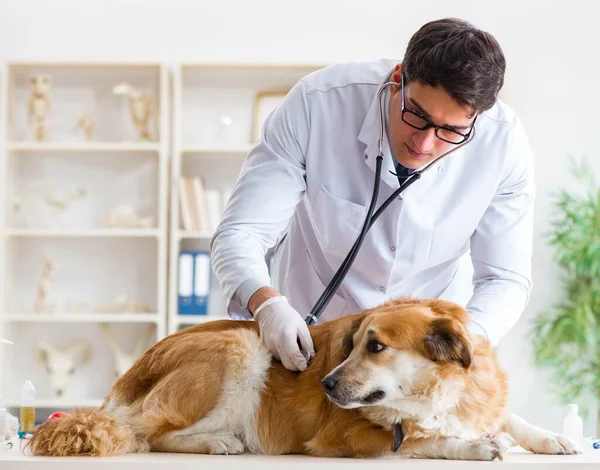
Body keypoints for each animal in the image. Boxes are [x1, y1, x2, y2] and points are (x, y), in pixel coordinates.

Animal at [24, 298, 580, 458]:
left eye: (376, 346)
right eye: (355, 343)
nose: (327, 384)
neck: (440, 390)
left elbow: (509, 416)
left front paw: (550, 438)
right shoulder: (348, 438)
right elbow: (423, 440)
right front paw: (472, 446)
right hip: (239, 346)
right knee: (148, 433)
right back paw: (217, 442)